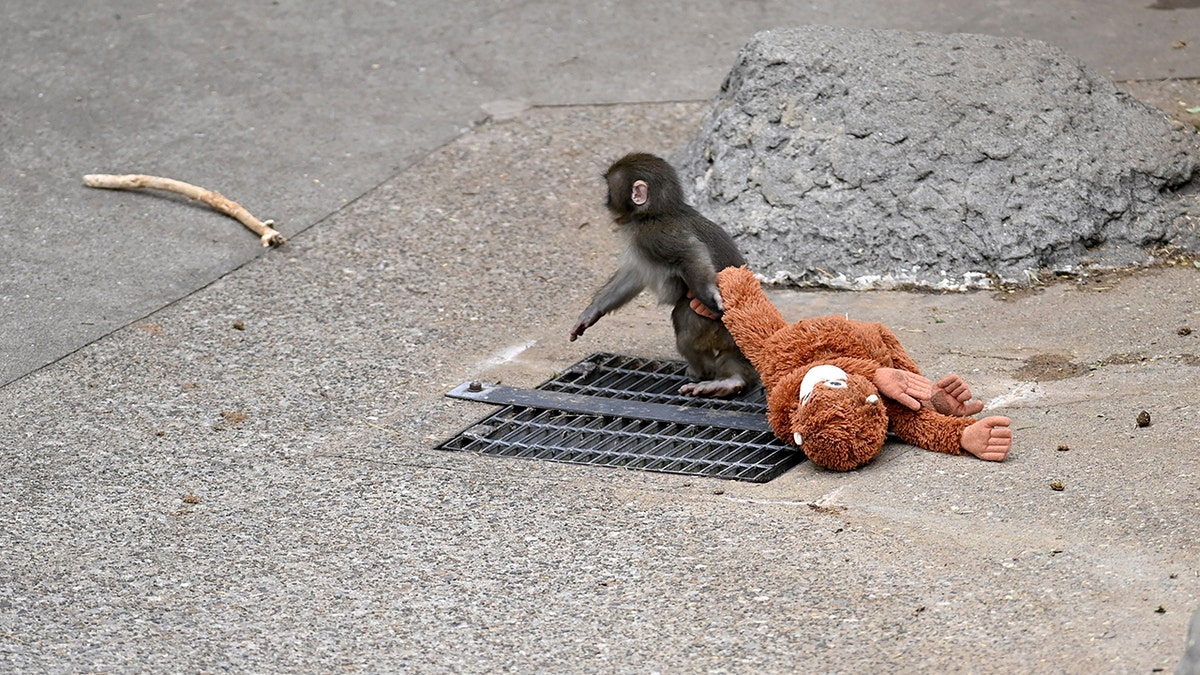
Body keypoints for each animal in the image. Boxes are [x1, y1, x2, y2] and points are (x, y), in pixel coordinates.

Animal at [569, 152, 758, 398]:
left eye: (610, 189)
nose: (606, 201)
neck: (655, 213)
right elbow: (633, 275)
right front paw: (592, 312)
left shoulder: (652, 235)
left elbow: (690, 252)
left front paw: (711, 294)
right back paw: (731, 381)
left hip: (717, 327)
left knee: (684, 319)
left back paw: (702, 371)